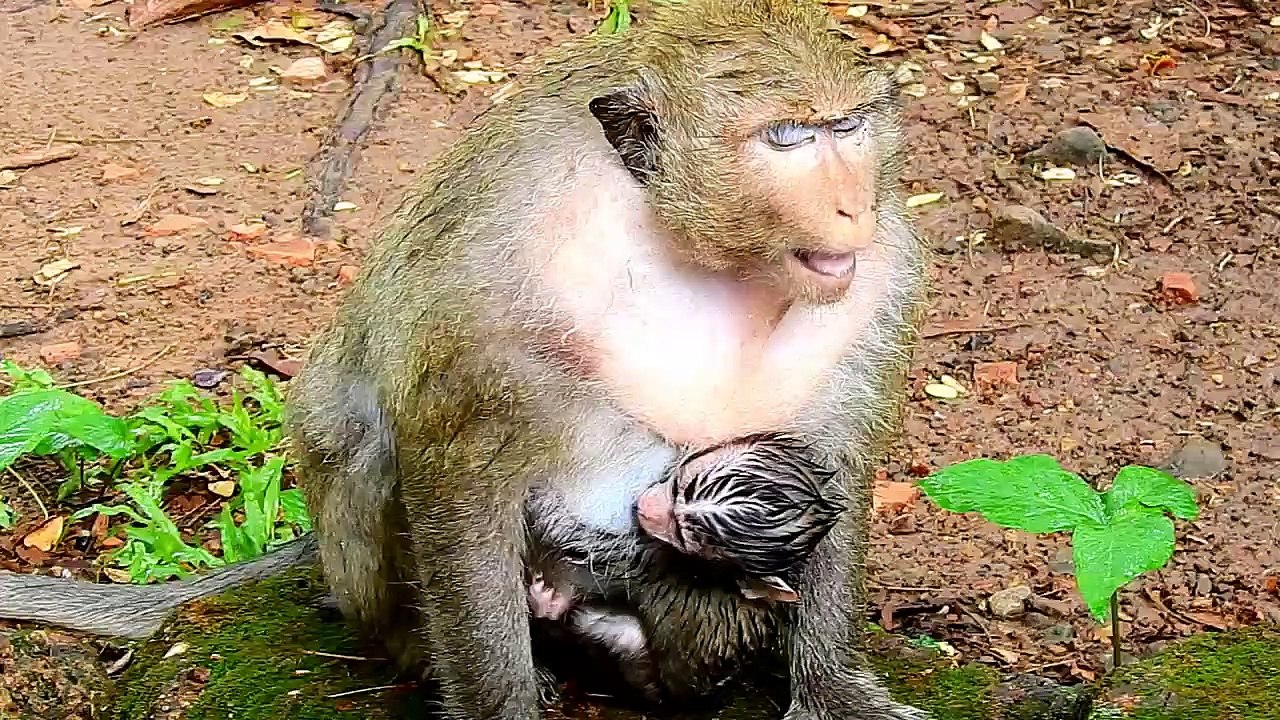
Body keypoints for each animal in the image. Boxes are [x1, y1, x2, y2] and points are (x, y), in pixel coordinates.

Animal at [0, 2, 931, 718]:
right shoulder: (502, 273)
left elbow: (831, 466)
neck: (694, 249)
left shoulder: (880, 281)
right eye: (786, 138)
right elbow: (458, 475)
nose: (850, 207)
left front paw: (831, 688)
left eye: (845, 128)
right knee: (371, 445)